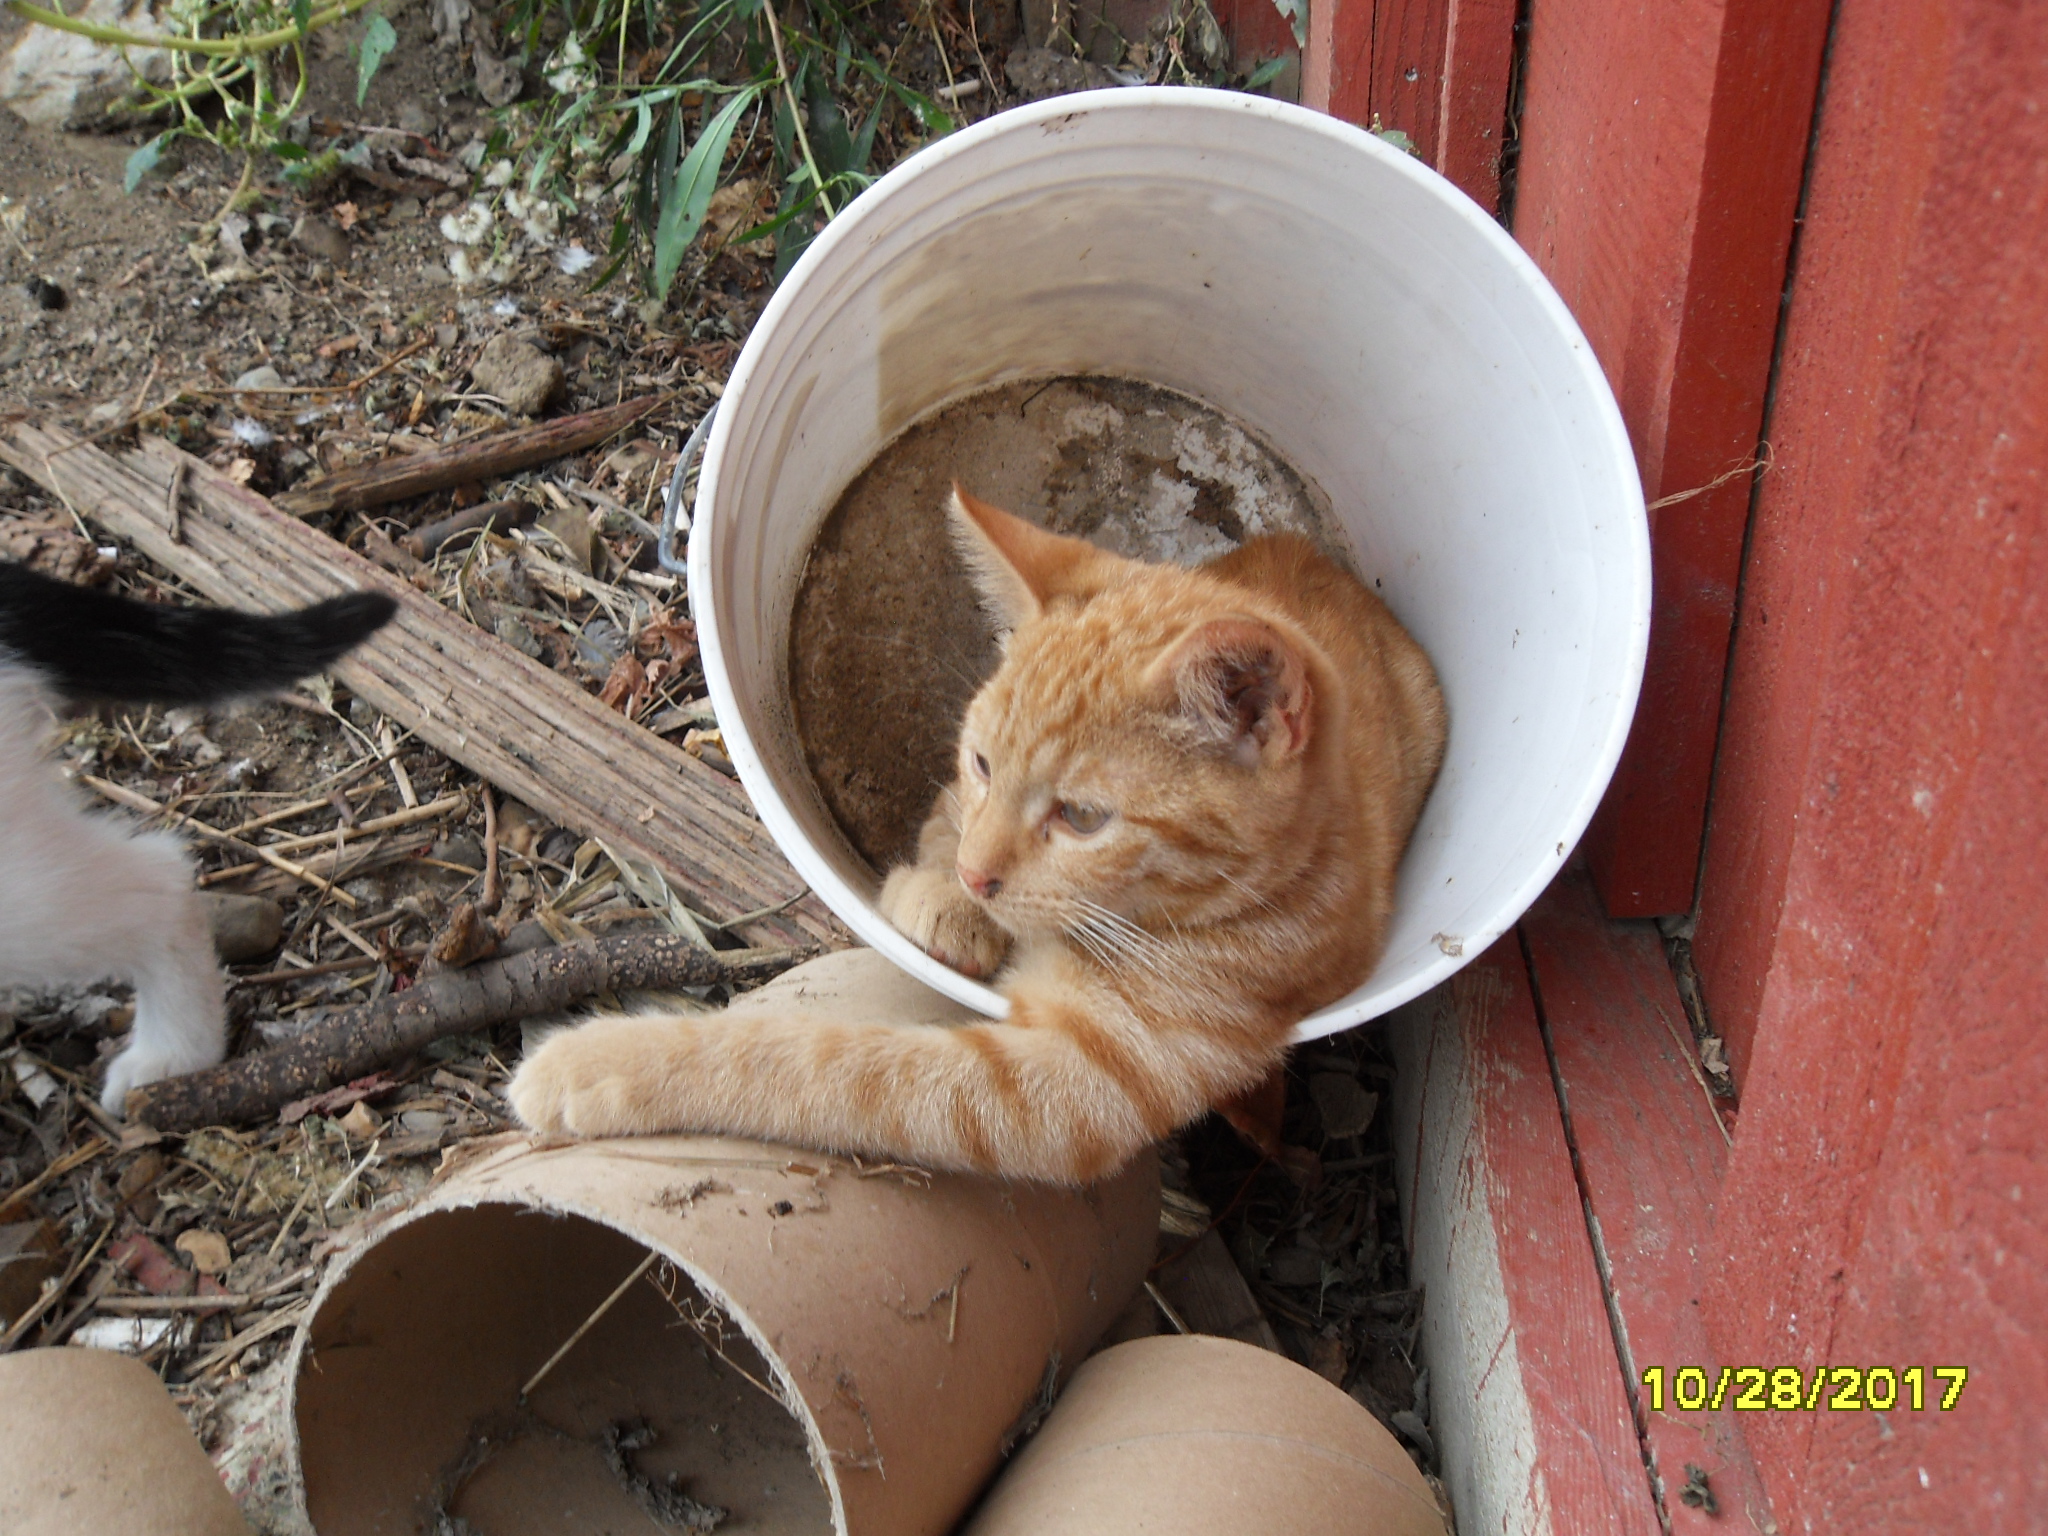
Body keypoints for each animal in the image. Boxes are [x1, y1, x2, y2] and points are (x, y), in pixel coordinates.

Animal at [510, 485, 1446, 1183]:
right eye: (983, 762)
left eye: (1082, 818)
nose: (975, 879)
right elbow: (941, 822)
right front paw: (943, 898)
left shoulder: (1061, 1087)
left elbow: (826, 1064)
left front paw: (600, 1065)